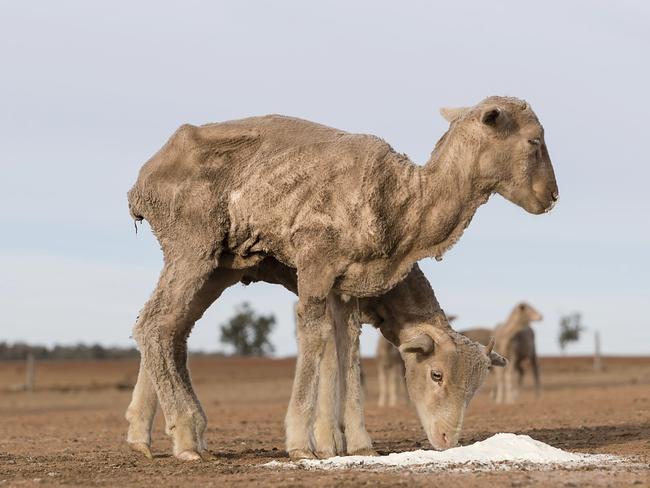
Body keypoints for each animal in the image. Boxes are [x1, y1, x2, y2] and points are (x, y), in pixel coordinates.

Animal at [125, 96, 556, 462]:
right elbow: (317, 344)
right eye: (436, 375)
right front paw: (305, 444)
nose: (552, 196)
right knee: (155, 325)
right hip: (192, 242)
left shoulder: (346, 287)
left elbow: (343, 350)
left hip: (218, 264)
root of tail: (143, 179)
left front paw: (353, 443)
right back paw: (184, 435)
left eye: (475, 389)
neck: (406, 203)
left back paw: (156, 435)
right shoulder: (316, 266)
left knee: (173, 330)